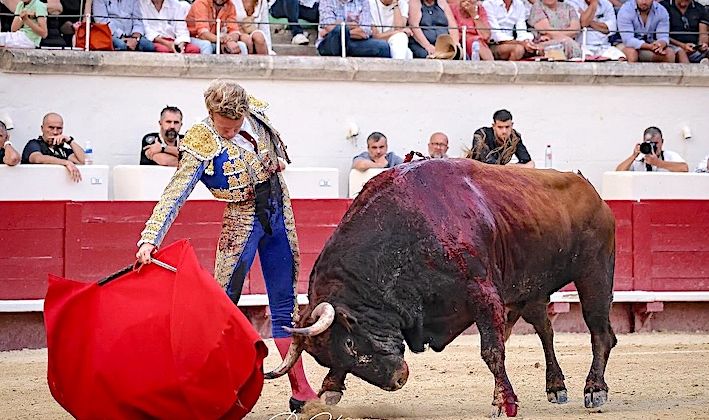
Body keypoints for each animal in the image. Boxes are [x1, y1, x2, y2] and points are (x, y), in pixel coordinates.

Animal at [266, 158, 612, 416]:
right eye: (325, 358)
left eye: (350, 343)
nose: (398, 379)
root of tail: (592, 191)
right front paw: (330, 388)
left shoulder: (482, 292)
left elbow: (492, 351)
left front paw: (505, 403)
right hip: (532, 291)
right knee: (545, 329)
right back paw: (556, 387)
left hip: (594, 273)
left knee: (600, 332)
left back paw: (594, 390)